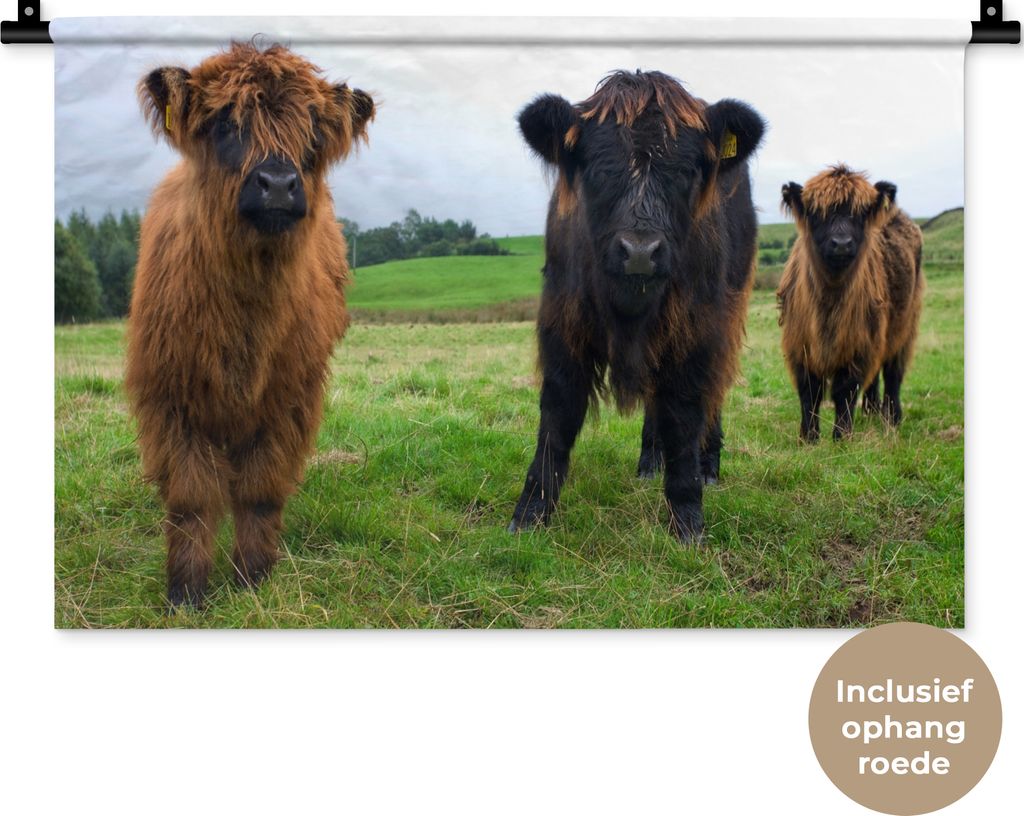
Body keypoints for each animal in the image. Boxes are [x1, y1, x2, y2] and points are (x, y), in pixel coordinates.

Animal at [125, 42, 374, 606]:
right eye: (224, 122)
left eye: (313, 130)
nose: (278, 184)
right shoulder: (170, 398)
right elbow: (191, 498)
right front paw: (186, 592)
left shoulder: (288, 400)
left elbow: (261, 490)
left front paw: (253, 579)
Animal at [508, 70, 766, 542]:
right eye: (597, 168)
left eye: (687, 171)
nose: (641, 252)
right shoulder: (562, 325)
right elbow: (557, 416)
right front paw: (531, 513)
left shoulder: (696, 331)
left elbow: (684, 416)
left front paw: (687, 519)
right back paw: (649, 461)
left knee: (712, 394)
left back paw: (709, 466)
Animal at [777, 165, 924, 442]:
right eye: (817, 213)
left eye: (861, 213)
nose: (842, 244)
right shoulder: (799, 344)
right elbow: (809, 391)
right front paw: (808, 436)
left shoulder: (858, 343)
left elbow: (844, 389)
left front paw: (842, 435)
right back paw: (871, 411)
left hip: (905, 324)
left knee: (893, 371)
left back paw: (892, 417)